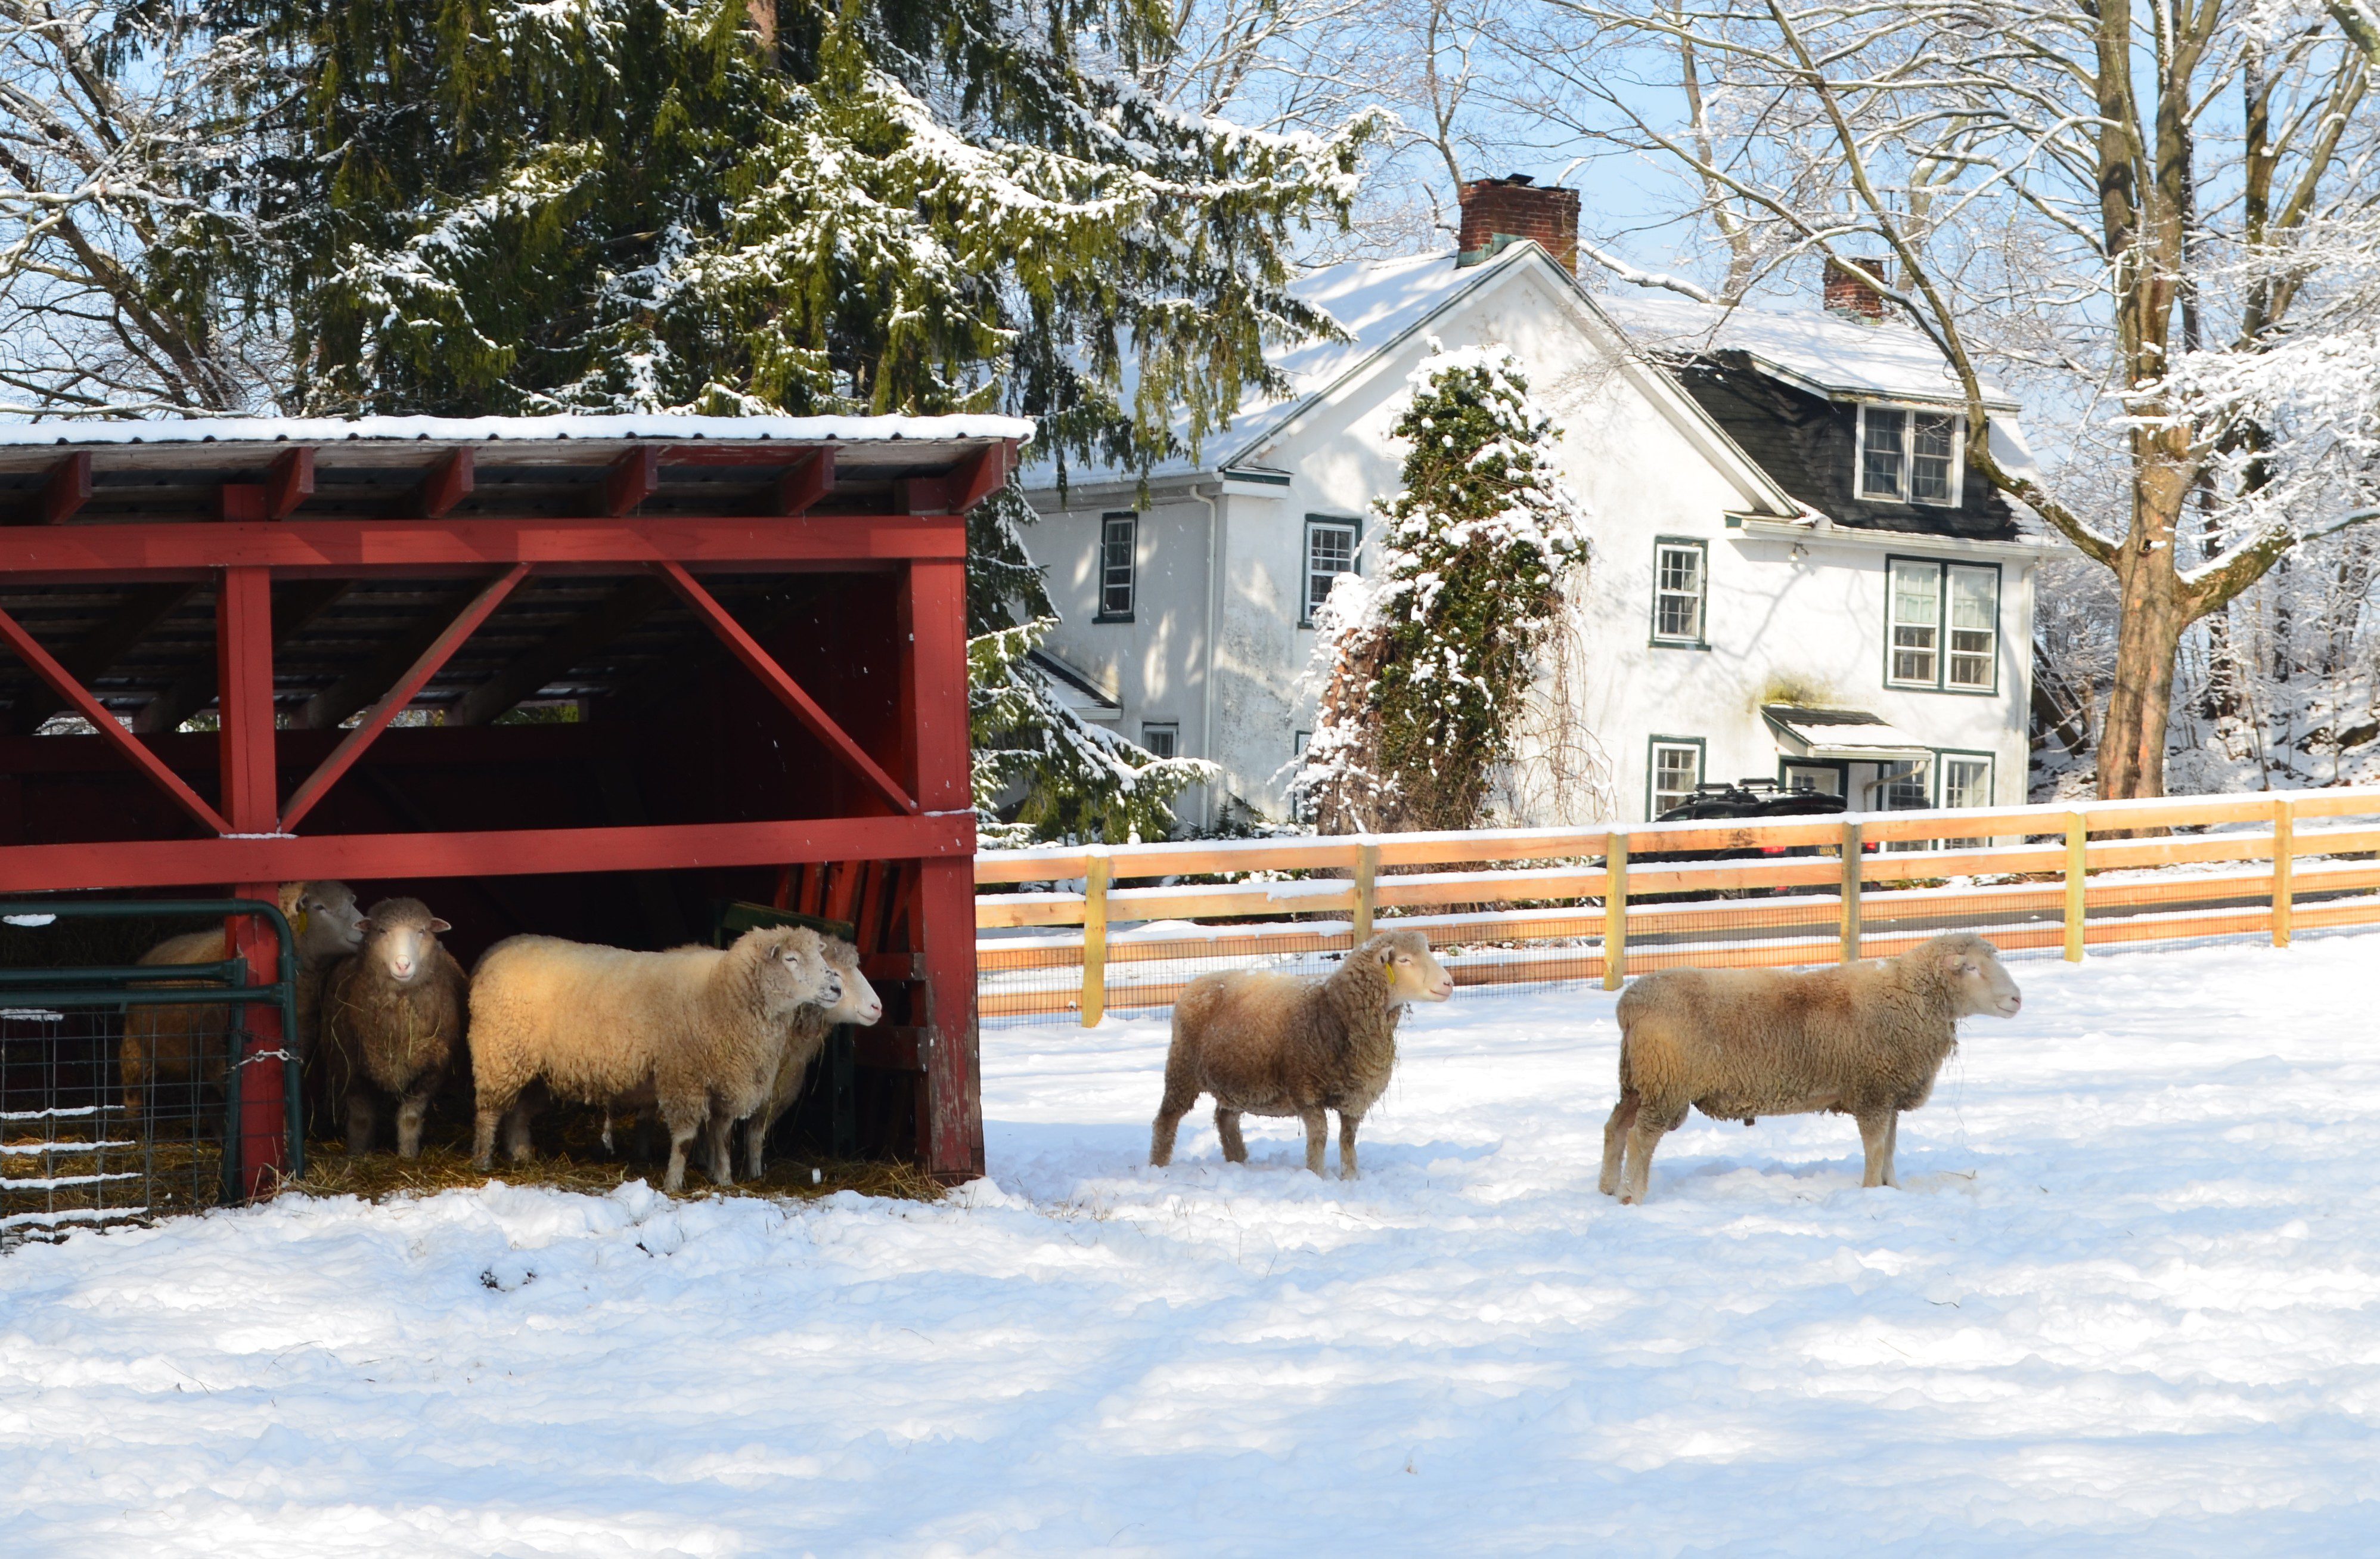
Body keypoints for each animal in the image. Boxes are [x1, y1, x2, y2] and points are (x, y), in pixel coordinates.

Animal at [119, 880, 366, 1118]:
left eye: (351, 902)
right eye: (319, 907)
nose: (364, 926)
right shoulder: (220, 1060)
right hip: (135, 1047)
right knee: (134, 1089)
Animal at [317, 899, 470, 1159]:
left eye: (422, 931)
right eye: (381, 931)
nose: (403, 964)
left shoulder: (430, 1070)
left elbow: (410, 1118)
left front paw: (407, 1156)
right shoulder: (351, 1066)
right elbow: (361, 1120)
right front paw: (356, 1154)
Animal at [466, 925, 844, 1193]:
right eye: (791, 959)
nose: (837, 988)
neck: (722, 993)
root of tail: (492, 953)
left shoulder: (726, 1081)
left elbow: (721, 1137)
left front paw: (724, 1180)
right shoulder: (684, 1077)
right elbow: (687, 1139)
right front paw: (674, 1184)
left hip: (533, 1068)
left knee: (517, 1112)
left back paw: (521, 1154)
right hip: (499, 1051)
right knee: (488, 1112)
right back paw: (483, 1160)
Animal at [1150, 928, 1454, 1179]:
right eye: (1404, 960)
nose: (1449, 983)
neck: (1334, 1010)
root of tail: (1194, 984)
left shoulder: (1354, 1098)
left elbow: (1348, 1140)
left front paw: (1351, 1179)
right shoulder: (1307, 1090)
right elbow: (1319, 1136)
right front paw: (1316, 1176)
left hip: (1236, 1079)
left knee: (1225, 1119)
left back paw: (1238, 1161)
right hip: (1182, 1070)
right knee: (1167, 1119)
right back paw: (1158, 1165)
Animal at [1599, 931, 2024, 1205]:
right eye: (1970, 968)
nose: (2017, 999)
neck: (1909, 998)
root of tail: (1629, 1005)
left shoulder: (1888, 1094)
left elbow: (1890, 1147)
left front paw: (1892, 1189)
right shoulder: (1872, 1093)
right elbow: (1875, 1148)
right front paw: (1871, 1192)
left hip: (1637, 1081)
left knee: (1615, 1127)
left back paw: (1608, 1188)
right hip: (1665, 1082)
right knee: (1641, 1138)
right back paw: (1633, 1196)